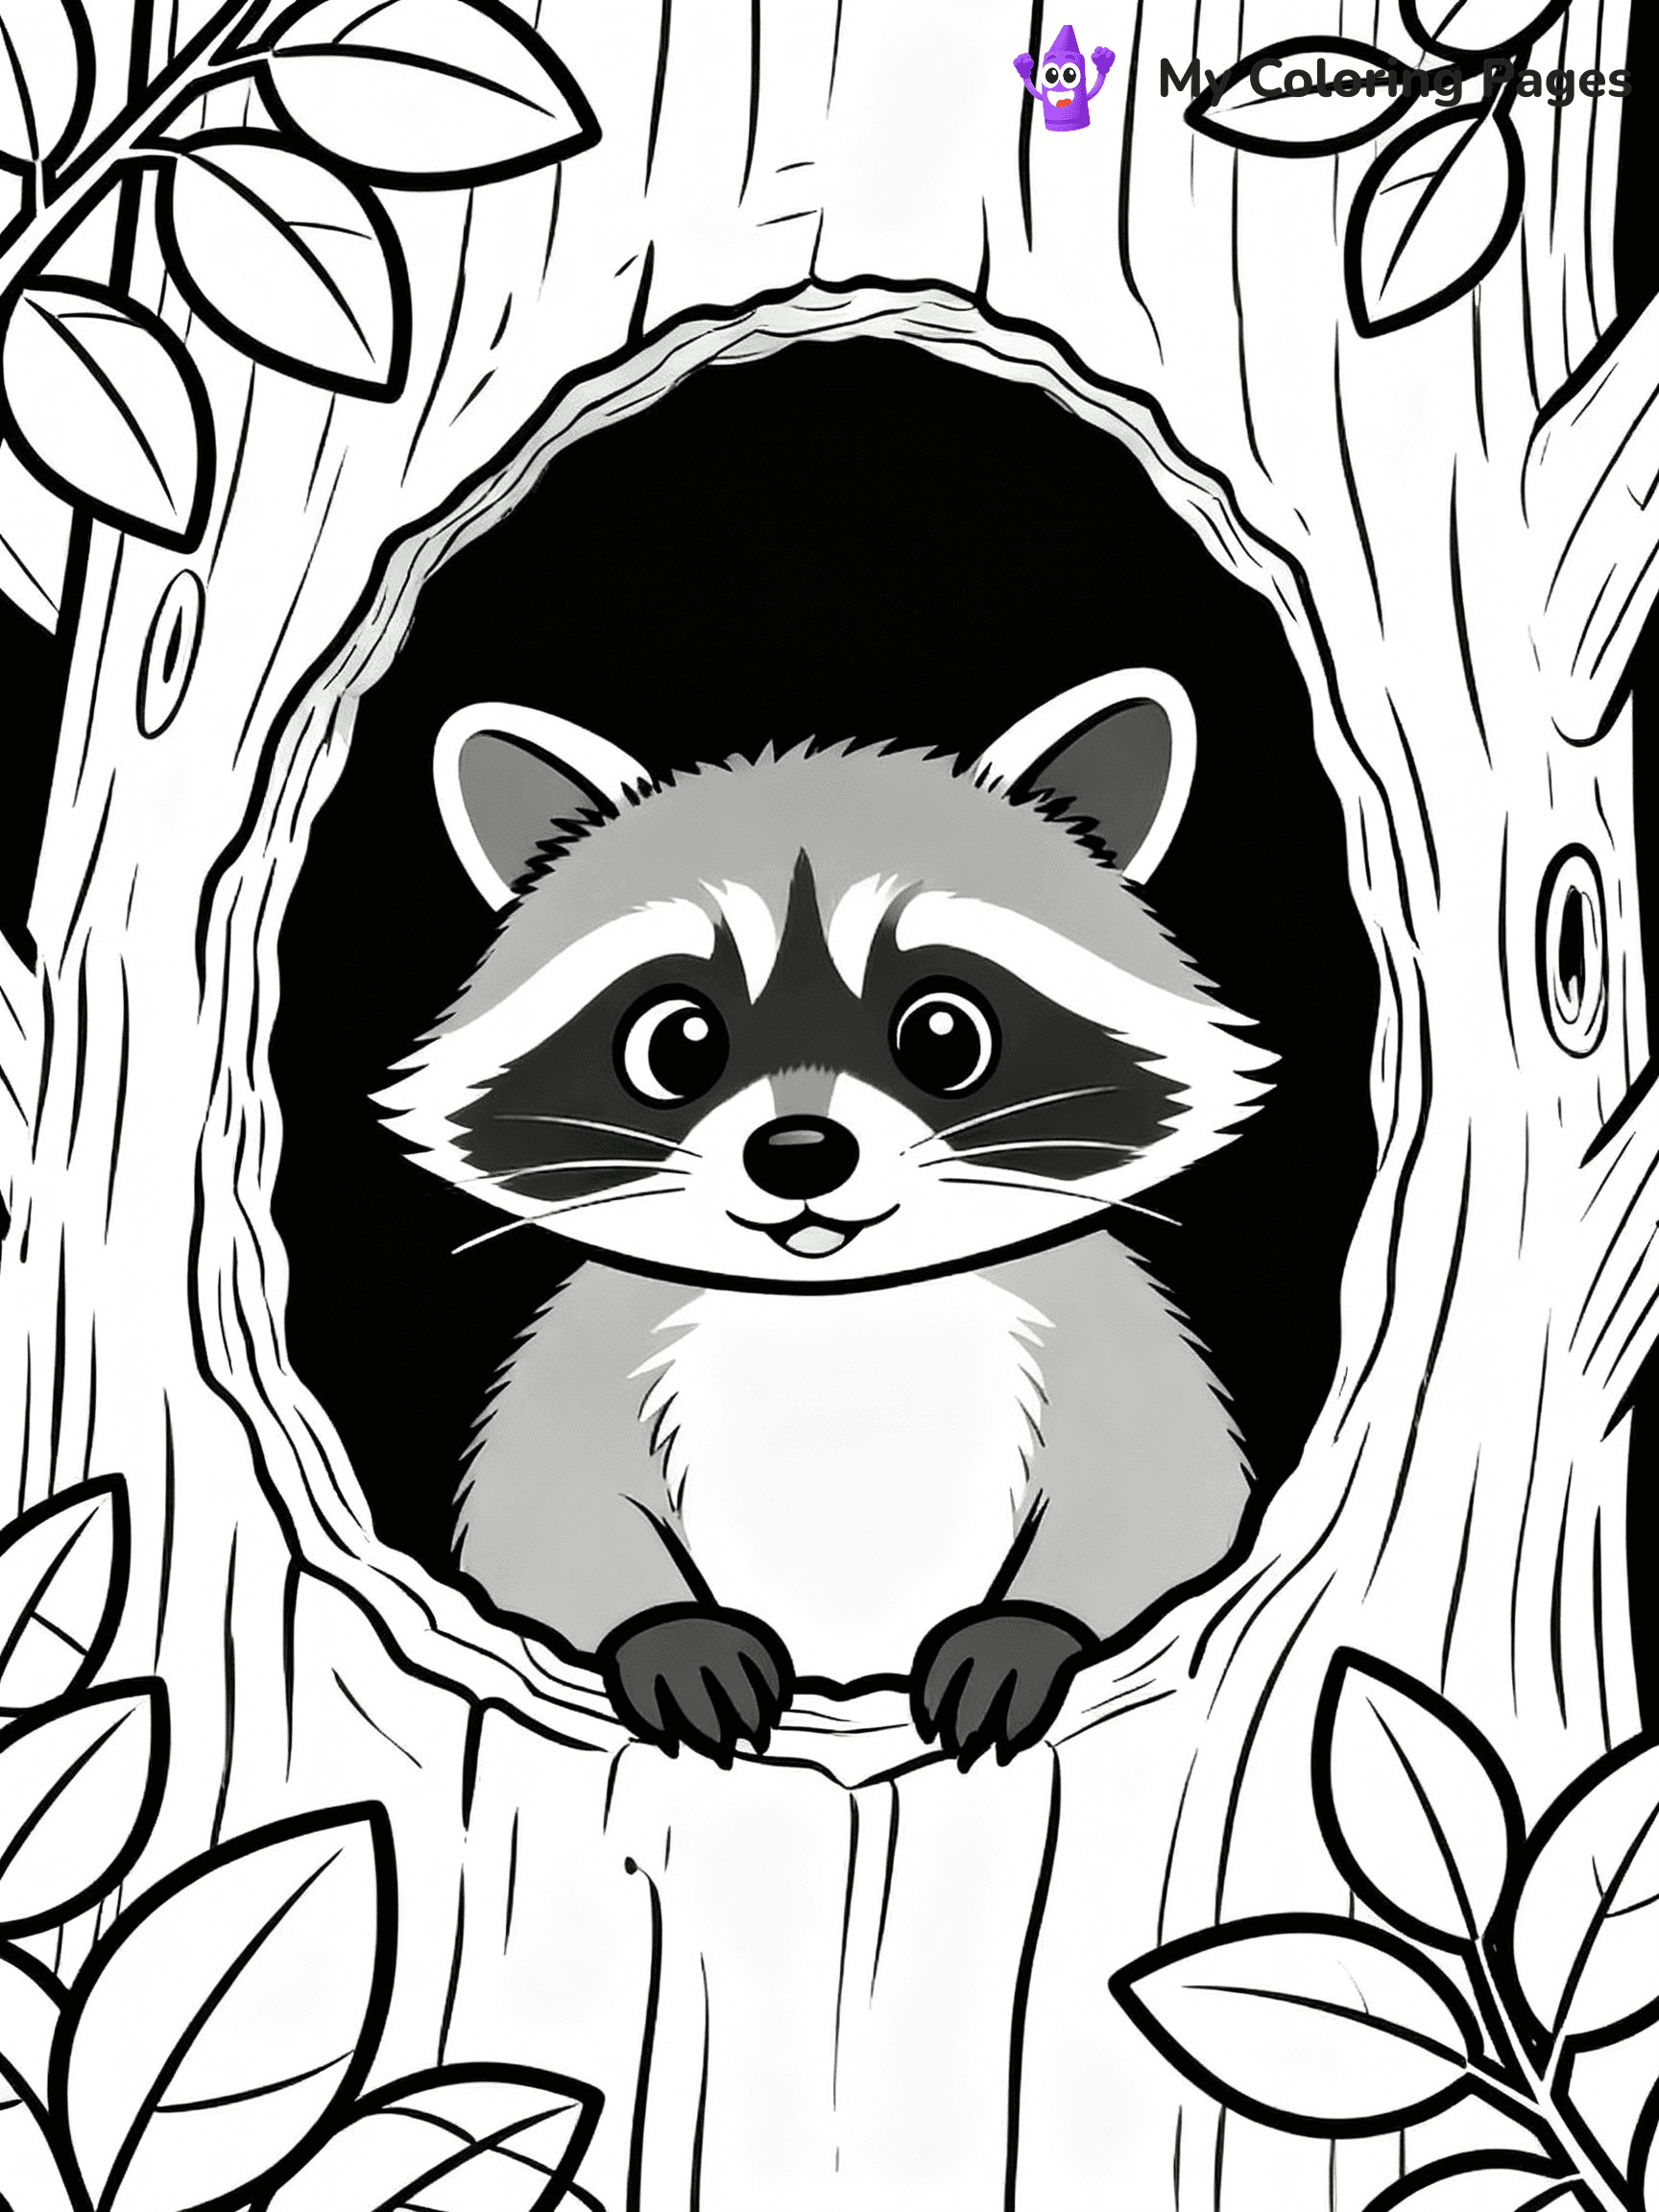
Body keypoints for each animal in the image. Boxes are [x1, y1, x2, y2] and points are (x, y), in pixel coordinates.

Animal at [379, 673, 1272, 1768]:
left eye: (943, 1034)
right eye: (678, 1043)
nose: (799, 1151)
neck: (836, 1305)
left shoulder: (1101, 1332)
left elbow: (1166, 1507)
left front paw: (1028, 1629)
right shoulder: (599, 1342)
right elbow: (535, 1525)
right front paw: (668, 1634)